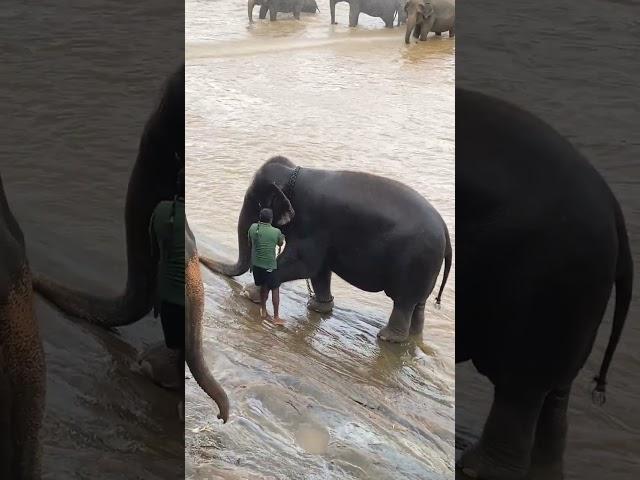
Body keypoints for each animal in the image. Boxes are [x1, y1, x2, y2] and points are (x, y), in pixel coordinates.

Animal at [199, 156, 450, 344]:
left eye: (255, 202)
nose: (200, 257)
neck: (295, 172)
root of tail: (446, 233)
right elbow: (319, 269)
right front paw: (318, 308)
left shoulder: (312, 223)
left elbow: (304, 263)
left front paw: (248, 293)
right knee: (417, 305)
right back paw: (413, 338)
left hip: (415, 262)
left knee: (403, 302)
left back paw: (388, 338)